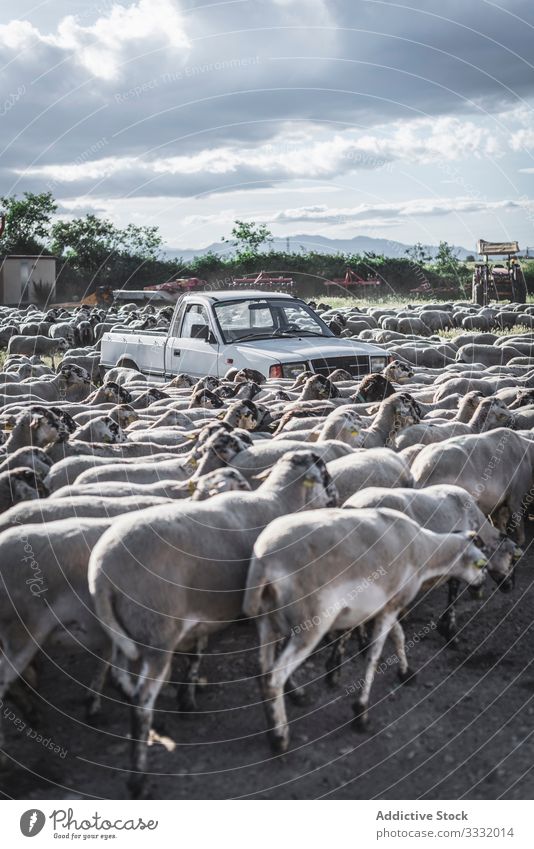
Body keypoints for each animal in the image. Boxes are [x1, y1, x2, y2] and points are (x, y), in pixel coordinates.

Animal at [89, 450, 340, 796]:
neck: (278, 502)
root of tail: (102, 573)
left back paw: (156, 724)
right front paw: (294, 695)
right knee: (140, 699)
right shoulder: (266, 610)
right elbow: (273, 660)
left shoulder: (201, 617)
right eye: (325, 474)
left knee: (122, 681)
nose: (337, 498)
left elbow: (198, 653)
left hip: (127, 633)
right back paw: (138, 780)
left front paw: (188, 698)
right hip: (158, 633)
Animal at [245, 504, 492, 748]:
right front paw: (361, 713)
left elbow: (399, 636)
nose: (481, 584)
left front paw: (406, 673)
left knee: (262, 671)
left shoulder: (386, 606)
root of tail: (265, 562)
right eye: (483, 564)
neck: (425, 549)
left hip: (268, 621)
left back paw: (288, 706)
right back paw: (280, 738)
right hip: (310, 623)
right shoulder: (392, 606)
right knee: (274, 677)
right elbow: (374, 656)